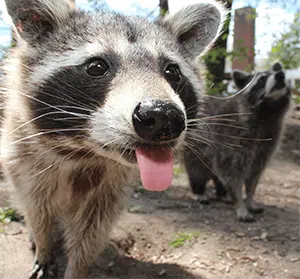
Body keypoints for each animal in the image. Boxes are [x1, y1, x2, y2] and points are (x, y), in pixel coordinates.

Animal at [0, 0, 225, 279]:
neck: (86, 152)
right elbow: (38, 210)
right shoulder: (26, 159)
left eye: (172, 71)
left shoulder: (112, 186)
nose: (162, 116)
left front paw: (77, 267)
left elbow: (92, 230)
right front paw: (44, 249)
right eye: (97, 67)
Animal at [184, 63, 292, 223]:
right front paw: (240, 203)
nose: (280, 75)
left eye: (280, 73)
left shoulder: (267, 144)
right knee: (198, 170)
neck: (268, 110)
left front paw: (250, 199)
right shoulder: (232, 137)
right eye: (262, 79)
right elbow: (233, 174)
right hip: (197, 149)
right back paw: (199, 191)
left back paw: (222, 193)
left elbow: (254, 175)